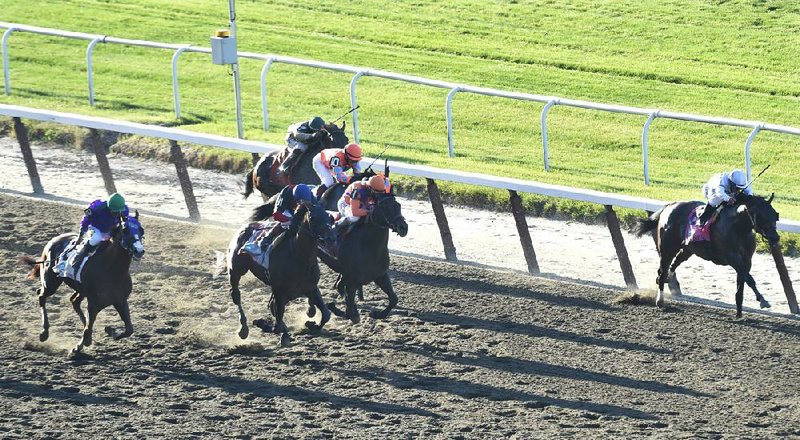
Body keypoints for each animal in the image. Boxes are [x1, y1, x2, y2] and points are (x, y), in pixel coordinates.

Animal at [19, 213, 145, 354]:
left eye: (141, 231)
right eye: (125, 230)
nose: (139, 250)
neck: (111, 270)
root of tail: (53, 240)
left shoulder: (120, 300)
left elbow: (129, 329)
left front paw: (110, 332)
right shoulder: (94, 303)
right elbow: (88, 328)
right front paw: (77, 347)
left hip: (80, 290)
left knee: (73, 301)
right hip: (50, 283)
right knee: (41, 295)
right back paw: (44, 333)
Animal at [225, 201, 334, 346]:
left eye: (330, 217)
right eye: (313, 218)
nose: (331, 239)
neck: (298, 257)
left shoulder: (310, 287)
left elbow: (326, 314)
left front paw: (312, 325)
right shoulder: (279, 290)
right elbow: (278, 321)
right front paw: (268, 327)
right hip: (236, 270)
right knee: (236, 295)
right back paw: (243, 329)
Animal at [636, 192, 780, 316]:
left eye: (775, 214)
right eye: (761, 216)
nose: (775, 237)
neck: (738, 229)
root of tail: (669, 206)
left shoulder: (747, 260)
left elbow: (742, 283)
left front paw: (739, 313)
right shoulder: (733, 258)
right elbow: (749, 279)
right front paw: (763, 301)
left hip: (688, 248)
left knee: (674, 264)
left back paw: (669, 279)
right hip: (667, 248)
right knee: (663, 271)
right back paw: (660, 300)